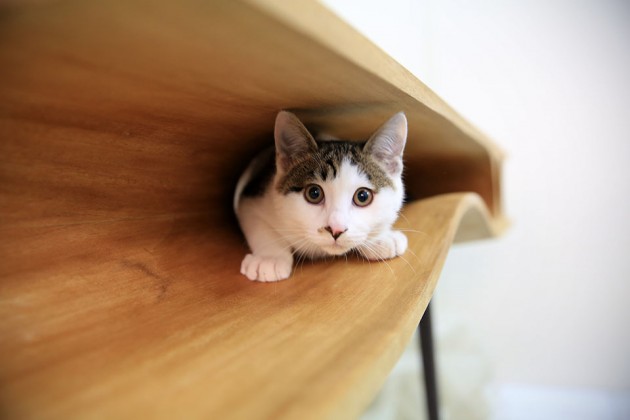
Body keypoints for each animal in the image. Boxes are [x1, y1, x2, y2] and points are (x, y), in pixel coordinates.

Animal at [233, 111, 410, 282]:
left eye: (363, 196)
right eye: (314, 193)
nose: (336, 230)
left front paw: (382, 237)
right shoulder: (251, 197)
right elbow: (258, 225)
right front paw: (269, 258)